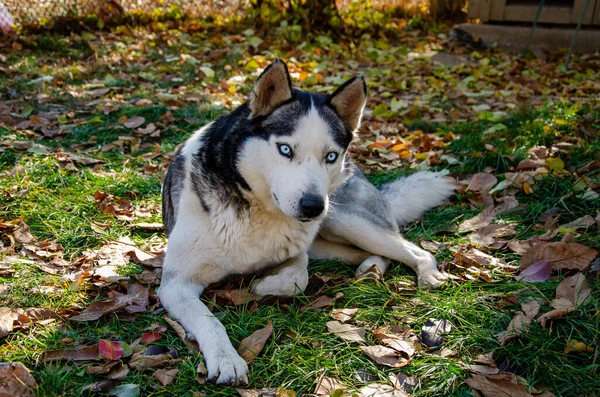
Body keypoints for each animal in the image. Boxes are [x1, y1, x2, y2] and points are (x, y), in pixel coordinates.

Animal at [159, 60, 454, 386]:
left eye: (330, 156)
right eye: (285, 149)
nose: (313, 206)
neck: (254, 208)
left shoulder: (297, 253)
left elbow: (299, 277)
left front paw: (262, 286)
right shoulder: (175, 284)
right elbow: (208, 320)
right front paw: (227, 360)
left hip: (344, 220)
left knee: (415, 250)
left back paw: (428, 274)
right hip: (330, 239)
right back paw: (370, 268)